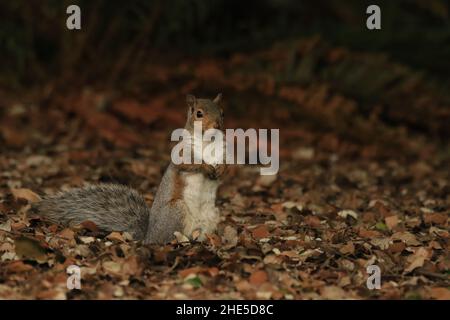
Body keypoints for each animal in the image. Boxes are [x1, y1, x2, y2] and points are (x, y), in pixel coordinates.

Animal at [31, 94, 227, 244]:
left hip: (212, 215)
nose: (217, 125)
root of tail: (148, 235)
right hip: (176, 211)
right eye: (199, 113)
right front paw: (206, 166)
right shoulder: (181, 153)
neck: (207, 142)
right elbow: (189, 164)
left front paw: (221, 170)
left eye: (222, 113)